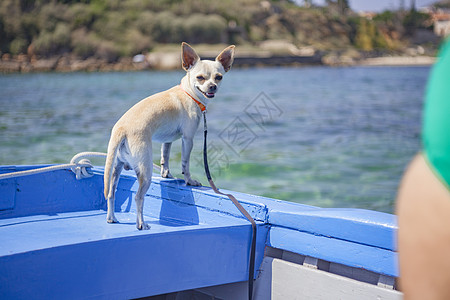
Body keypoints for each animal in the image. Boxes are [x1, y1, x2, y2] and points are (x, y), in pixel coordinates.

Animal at [102, 42, 236, 230]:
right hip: (145, 170)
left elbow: (165, 157)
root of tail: (121, 129)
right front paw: (189, 180)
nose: (212, 87)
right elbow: (185, 164)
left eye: (219, 77)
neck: (189, 93)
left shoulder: (167, 141)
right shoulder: (188, 139)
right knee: (138, 197)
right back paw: (141, 224)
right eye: (200, 78)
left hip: (117, 167)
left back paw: (111, 218)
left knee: (111, 193)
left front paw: (167, 175)